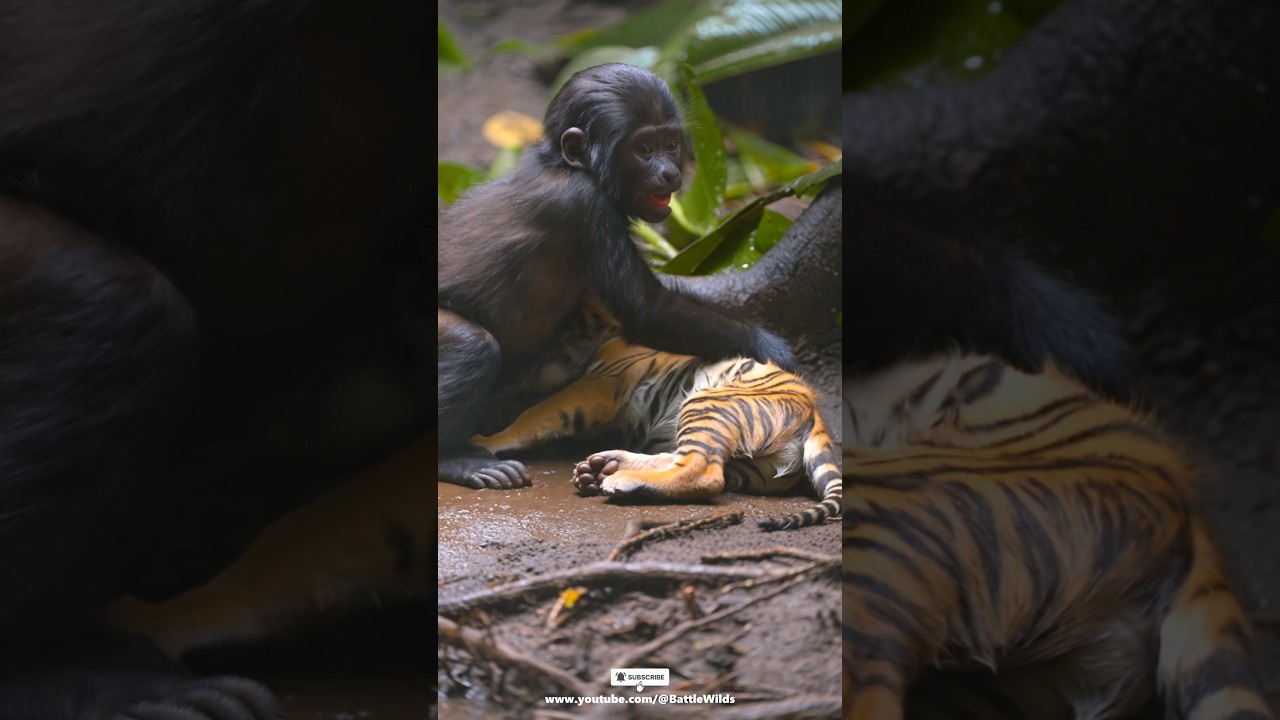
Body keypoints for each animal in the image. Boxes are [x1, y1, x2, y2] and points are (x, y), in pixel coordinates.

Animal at [472, 303, 842, 531]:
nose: (521, 370)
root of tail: (815, 412)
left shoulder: (597, 386)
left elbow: (536, 415)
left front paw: (486, 440)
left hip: (707, 403)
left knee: (704, 472)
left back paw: (616, 479)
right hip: (749, 465)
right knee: (691, 461)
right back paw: (603, 467)